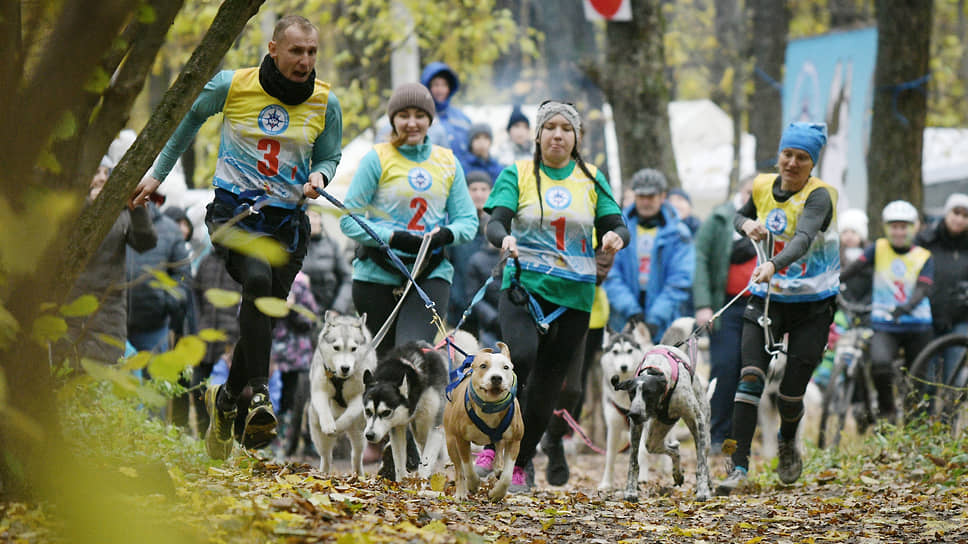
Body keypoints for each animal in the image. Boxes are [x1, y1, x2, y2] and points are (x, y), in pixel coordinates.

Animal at [444, 342, 520, 504]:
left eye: (506, 367)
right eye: (483, 366)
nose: (496, 378)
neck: (489, 407)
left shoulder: (515, 440)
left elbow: (507, 476)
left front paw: (497, 493)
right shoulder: (461, 439)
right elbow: (467, 466)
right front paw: (473, 484)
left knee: (499, 445)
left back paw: (498, 467)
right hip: (450, 440)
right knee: (459, 469)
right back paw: (461, 492)